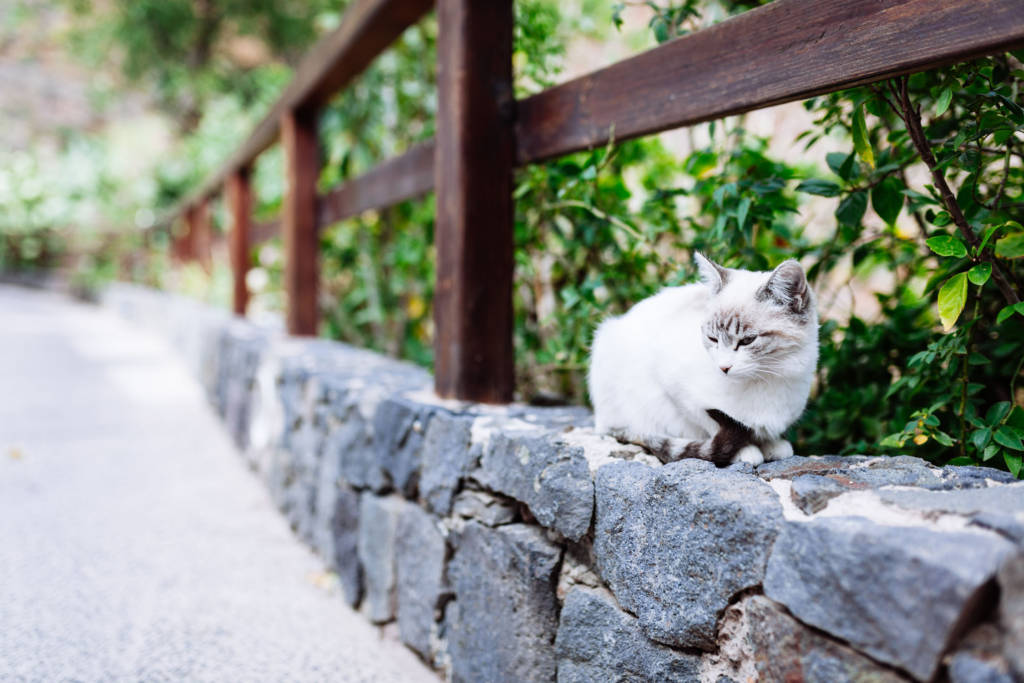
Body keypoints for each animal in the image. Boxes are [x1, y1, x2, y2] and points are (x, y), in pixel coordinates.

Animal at [589, 253, 819, 466]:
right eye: (712, 338)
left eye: (747, 340)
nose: (724, 368)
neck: (767, 378)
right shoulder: (677, 390)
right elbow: (713, 424)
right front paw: (746, 451)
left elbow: (762, 432)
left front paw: (772, 444)